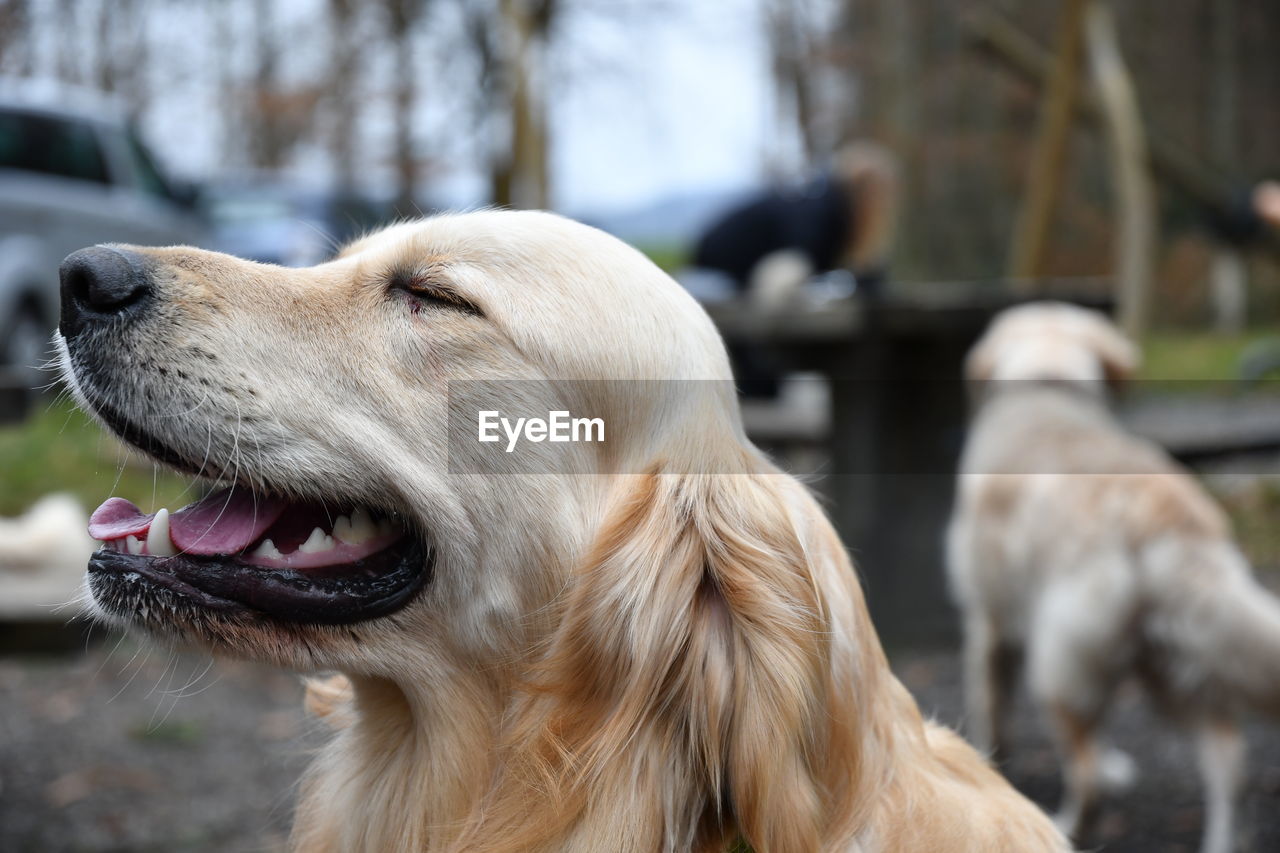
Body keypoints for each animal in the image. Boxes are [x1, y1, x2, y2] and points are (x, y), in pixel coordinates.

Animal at [947, 302, 1280, 845]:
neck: (1048, 382)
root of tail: (1158, 514)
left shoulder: (987, 623)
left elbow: (991, 715)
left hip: (1060, 666)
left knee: (1085, 774)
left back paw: (1067, 825)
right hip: (1168, 665)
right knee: (1229, 760)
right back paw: (1222, 842)